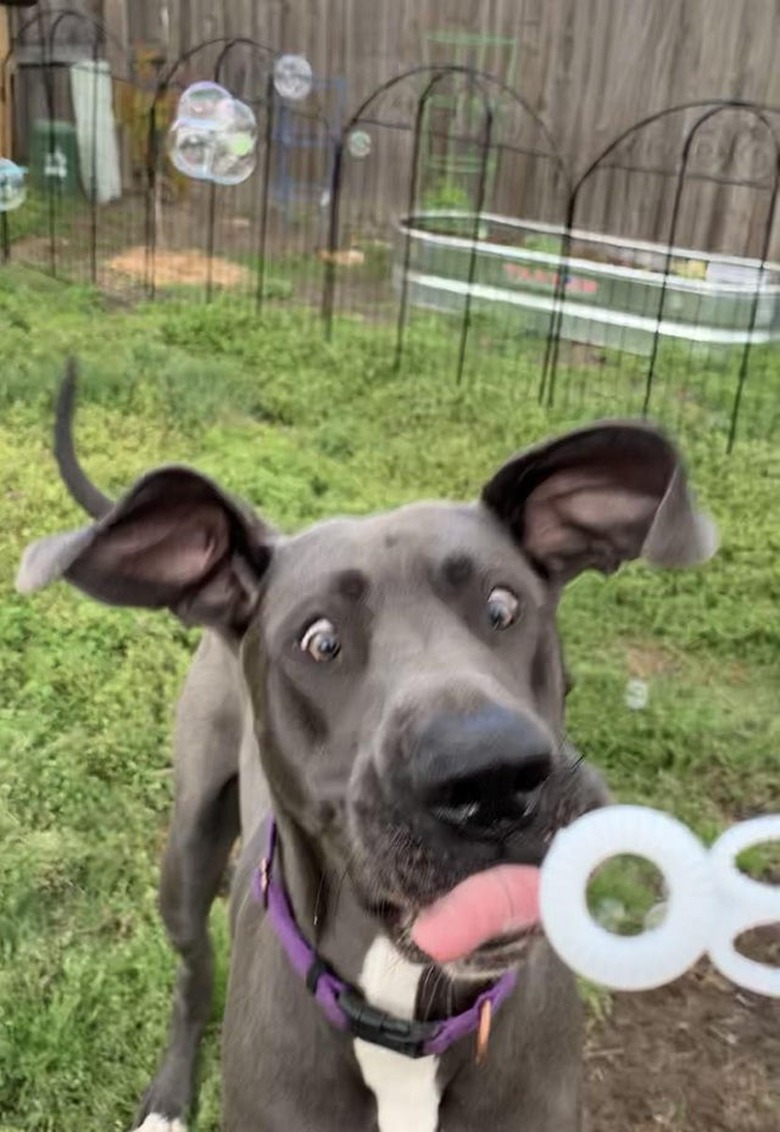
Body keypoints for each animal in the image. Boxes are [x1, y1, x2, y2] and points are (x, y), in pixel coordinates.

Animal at [13, 364, 720, 1132]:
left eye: (503, 606)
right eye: (320, 641)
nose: (493, 778)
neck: (403, 1020)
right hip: (188, 849)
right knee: (193, 969)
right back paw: (170, 1097)